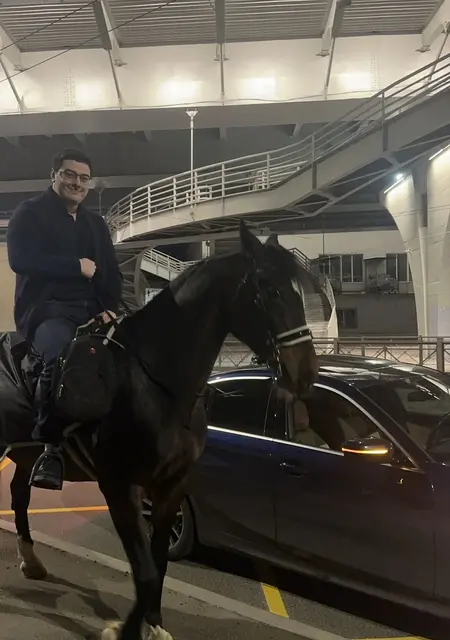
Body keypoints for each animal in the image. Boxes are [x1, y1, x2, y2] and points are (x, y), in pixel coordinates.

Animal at [0, 221, 319, 640]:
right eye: (270, 290)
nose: (306, 373)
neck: (157, 384)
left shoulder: (172, 486)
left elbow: (158, 565)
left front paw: (152, 624)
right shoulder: (121, 488)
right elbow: (146, 573)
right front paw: (123, 629)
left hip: (24, 453)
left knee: (19, 493)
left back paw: (31, 560)